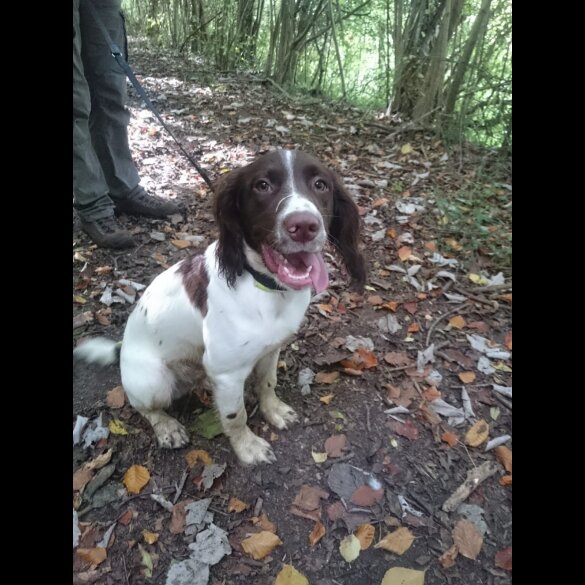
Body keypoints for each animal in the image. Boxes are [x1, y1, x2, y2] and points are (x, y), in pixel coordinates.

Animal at [74, 151, 362, 466]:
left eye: (321, 184)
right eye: (262, 185)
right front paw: (248, 448)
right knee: (147, 409)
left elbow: (268, 383)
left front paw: (274, 411)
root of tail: (122, 348)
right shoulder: (227, 374)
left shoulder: (272, 349)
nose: (304, 227)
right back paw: (167, 427)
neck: (264, 287)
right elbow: (236, 416)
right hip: (153, 383)